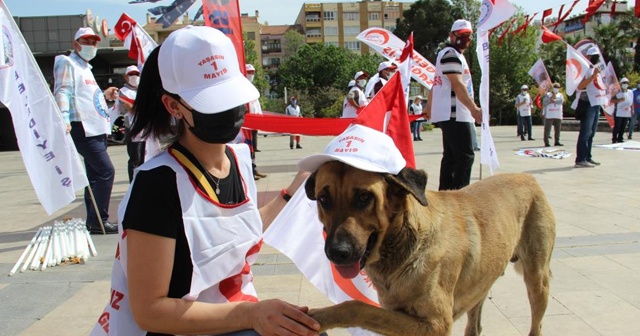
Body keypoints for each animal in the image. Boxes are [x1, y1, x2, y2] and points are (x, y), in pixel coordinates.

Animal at [304, 161, 556, 336]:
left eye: (365, 197)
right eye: (323, 199)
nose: (337, 253)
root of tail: (527, 177)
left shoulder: (435, 325)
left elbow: (357, 307)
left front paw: (321, 316)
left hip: (537, 280)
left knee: (537, 325)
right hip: (482, 284)